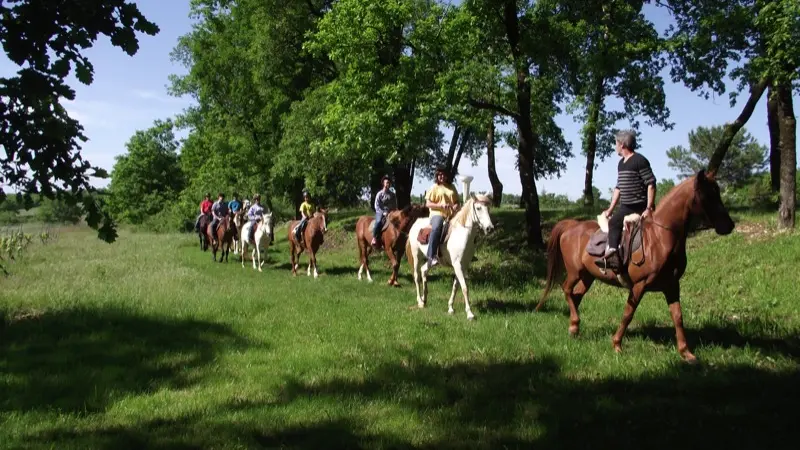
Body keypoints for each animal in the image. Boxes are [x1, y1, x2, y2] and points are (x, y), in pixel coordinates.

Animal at [536, 171, 736, 364]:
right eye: (708, 194)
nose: (729, 225)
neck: (660, 237)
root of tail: (571, 225)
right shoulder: (639, 285)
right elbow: (628, 314)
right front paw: (617, 344)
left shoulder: (672, 286)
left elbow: (678, 316)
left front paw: (686, 353)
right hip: (574, 272)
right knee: (567, 290)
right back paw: (575, 322)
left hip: (588, 276)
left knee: (575, 295)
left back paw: (574, 327)